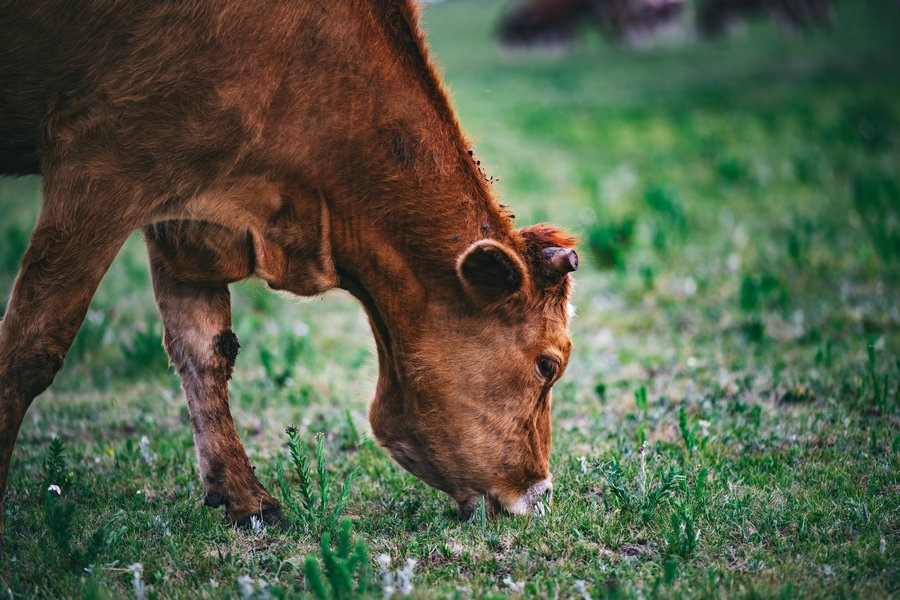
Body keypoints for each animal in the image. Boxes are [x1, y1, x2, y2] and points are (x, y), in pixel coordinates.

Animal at [0, 0, 579, 530]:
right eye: (548, 365)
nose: (540, 494)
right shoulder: (103, 163)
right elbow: (30, 347)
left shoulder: (181, 213)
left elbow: (204, 348)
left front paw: (244, 498)